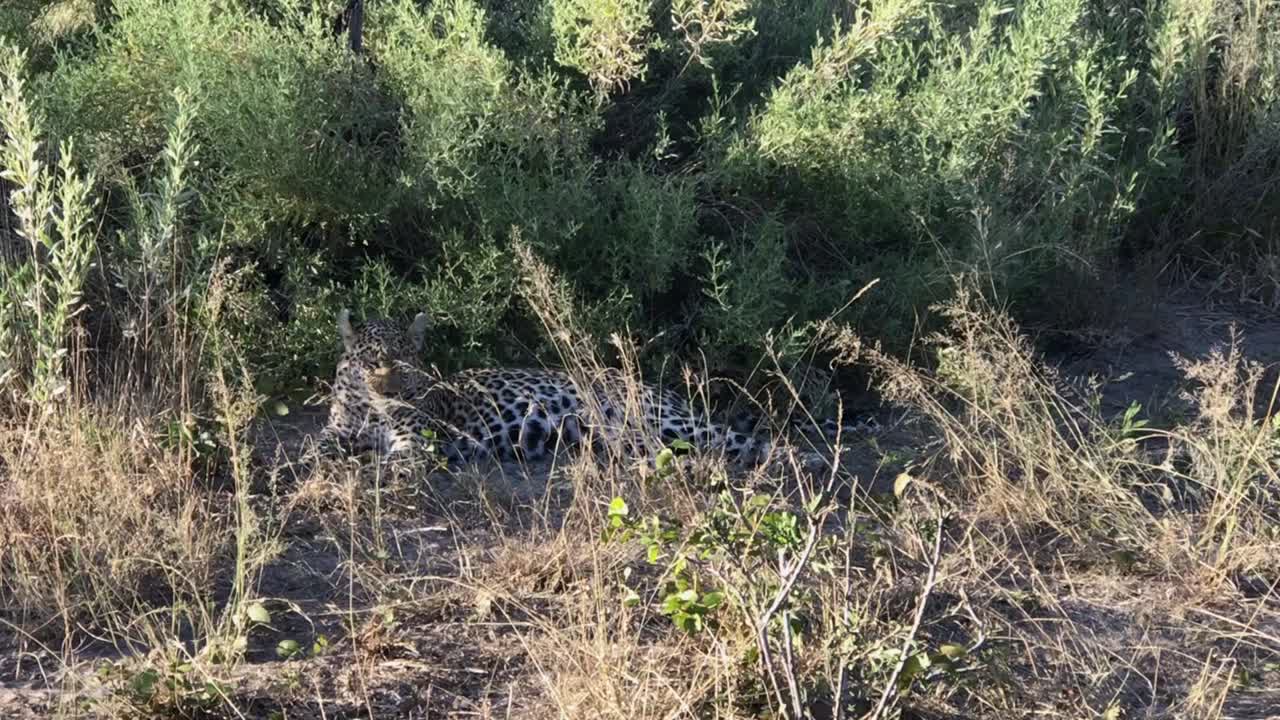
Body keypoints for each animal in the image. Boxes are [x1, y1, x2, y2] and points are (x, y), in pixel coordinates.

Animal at [320, 309, 875, 466]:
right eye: (372, 361)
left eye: (405, 362)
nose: (391, 388)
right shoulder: (338, 431)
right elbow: (320, 447)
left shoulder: (420, 441)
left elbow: (391, 462)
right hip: (619, 435)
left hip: (663, 420)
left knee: (740, 440)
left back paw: (805, 461)